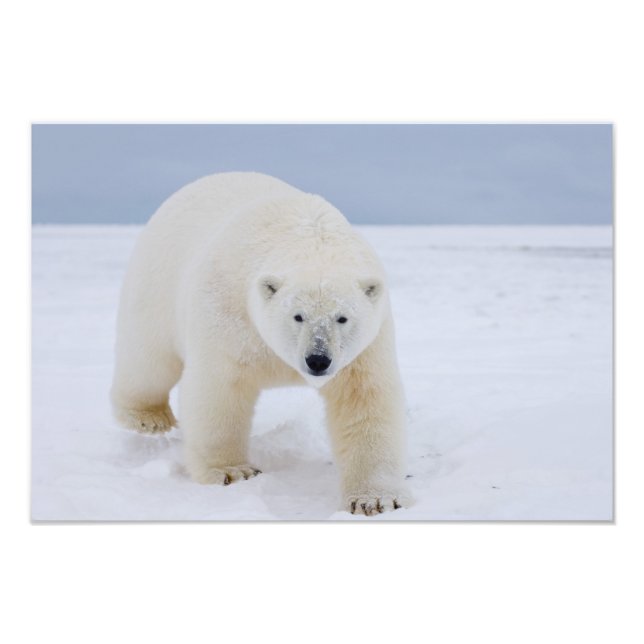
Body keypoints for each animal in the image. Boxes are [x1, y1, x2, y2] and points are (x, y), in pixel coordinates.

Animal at [111, 172, 410, 515]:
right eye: (298, 316)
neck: (308, 238)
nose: (317, 360)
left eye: (342, 318)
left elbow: (365, 400)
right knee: (150, 358)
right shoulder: (228, 313)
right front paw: (232, 471)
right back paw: (148, 418)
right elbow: (220, 388)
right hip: (157, 283)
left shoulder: (367, 344)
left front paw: (374, 499)